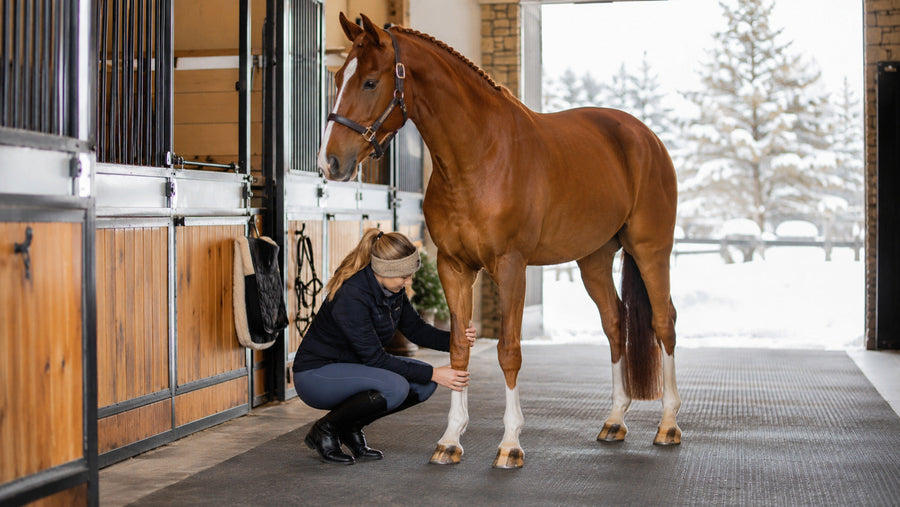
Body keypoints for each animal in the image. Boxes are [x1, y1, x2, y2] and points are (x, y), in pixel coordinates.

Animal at [317, 13, 681, 469]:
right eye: (337, 78)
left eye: (368, 82)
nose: (329, 162)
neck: (480, 155)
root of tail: (644, 137)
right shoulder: (453, 266)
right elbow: (458, 348)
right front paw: (450, 440)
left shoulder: (511, 266)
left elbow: (509, 350)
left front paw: (510, 444)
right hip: (594, 259)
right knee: (615, 323)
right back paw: (614, 420)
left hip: (651, 250)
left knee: (663, 322)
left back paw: (668, 425)